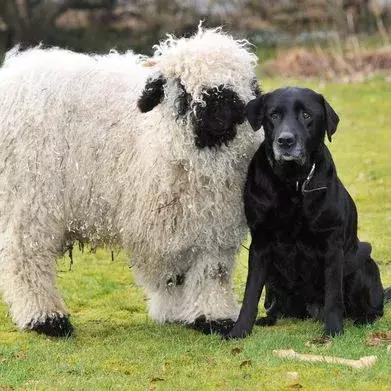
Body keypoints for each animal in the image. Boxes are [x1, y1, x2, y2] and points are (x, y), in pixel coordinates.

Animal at [0, 26, 264, 336]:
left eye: (237, 84)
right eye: (182, 88)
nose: (219, 112)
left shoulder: (214, 227)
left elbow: (211, 272)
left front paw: (210, 316)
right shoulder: (161, 225)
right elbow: (171, 273)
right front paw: (177, 311)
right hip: (29, 199)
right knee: (26, 257)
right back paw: (46, 318)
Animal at [225, 87, 388, 338]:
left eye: (306, 115)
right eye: (273, 115)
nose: (285, 140)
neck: (293, 182)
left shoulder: (332, 245)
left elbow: (334, 296)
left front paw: (333, 331)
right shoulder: (260, 243)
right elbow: (250, 294)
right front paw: (240, 330)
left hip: (362, 263)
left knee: (371, 307)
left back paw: (363, 318)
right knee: (275, 304)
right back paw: (270, 318)